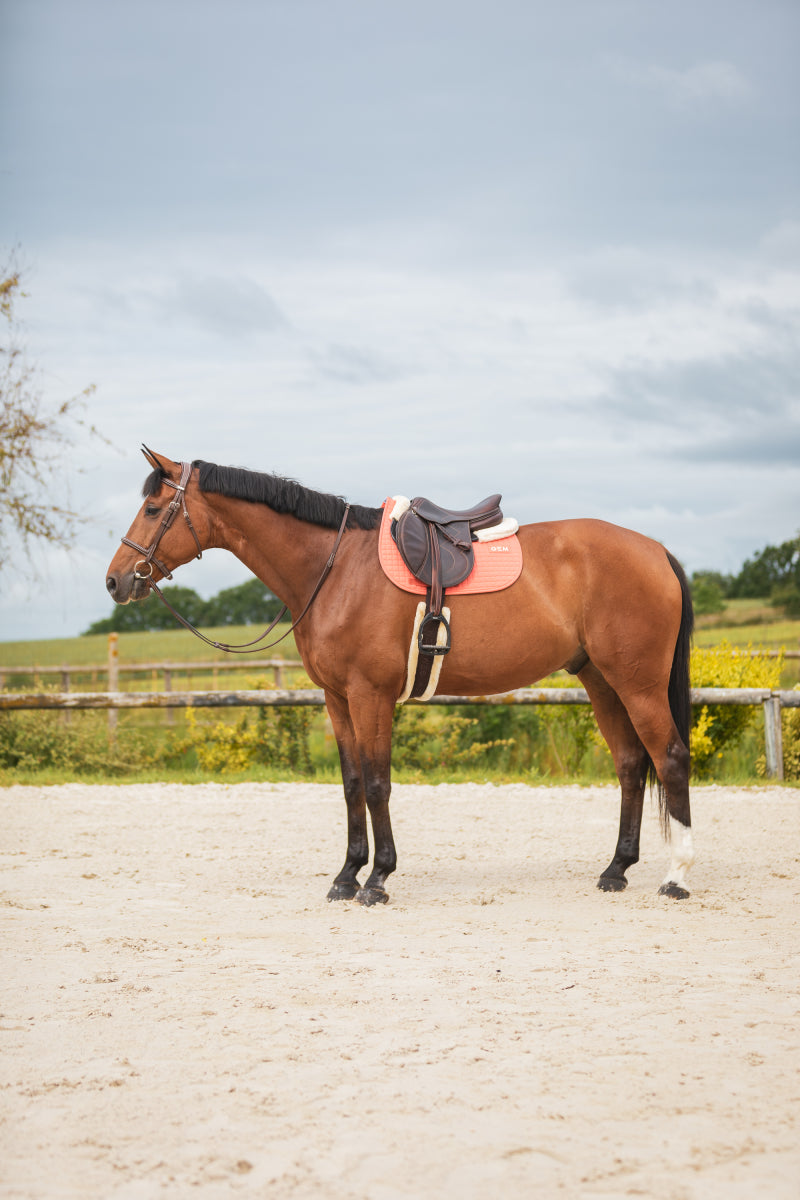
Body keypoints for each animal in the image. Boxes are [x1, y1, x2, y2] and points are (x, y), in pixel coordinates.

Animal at [106, 448, 695, 902]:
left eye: (153, 508)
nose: (115, 581)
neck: (335, 569)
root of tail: (655, 550)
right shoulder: (337, 699)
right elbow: (350, 784)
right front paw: (346, 876)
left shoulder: (371, 696)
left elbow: (376, 782)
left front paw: (377, 879)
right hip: (601, 681)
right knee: (630, 764)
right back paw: (616, 870)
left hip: (637, 684)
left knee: (668, 758)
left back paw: (677, 878)